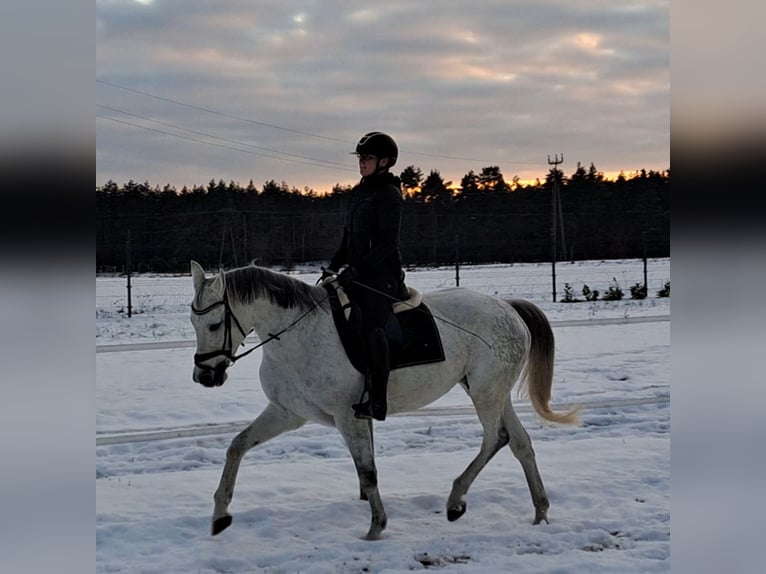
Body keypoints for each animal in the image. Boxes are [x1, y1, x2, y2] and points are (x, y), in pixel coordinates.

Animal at [189, 260, 579, 540]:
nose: (205, 377)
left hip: (485, 392)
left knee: (495, 438)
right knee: (519, 442)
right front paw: (220, 515)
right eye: (194, 324)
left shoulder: (349, 417)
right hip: (490, 390)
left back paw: (456, 501)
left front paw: (376, 526)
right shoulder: (287, 412)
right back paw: (540, 511)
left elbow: (368, 470)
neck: (297, 336)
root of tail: (507, 307)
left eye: (213, 325)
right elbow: (237, 446)